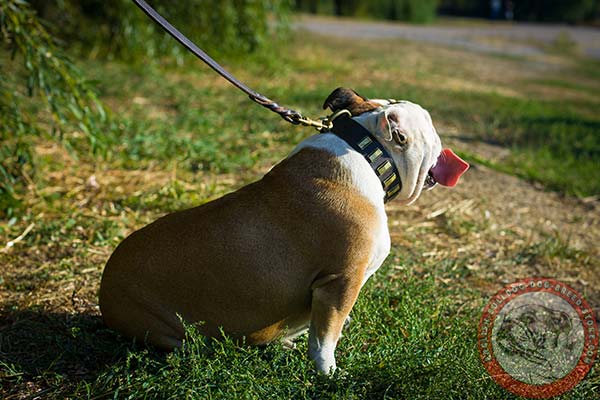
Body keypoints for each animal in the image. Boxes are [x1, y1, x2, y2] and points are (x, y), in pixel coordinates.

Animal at [99, 87, 468, 376]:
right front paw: (328, 372)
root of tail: (104, 292)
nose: (442, 141)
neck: (367, 150)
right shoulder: (341, 280)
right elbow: (325, 336)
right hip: (165, 327)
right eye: (431, 128)